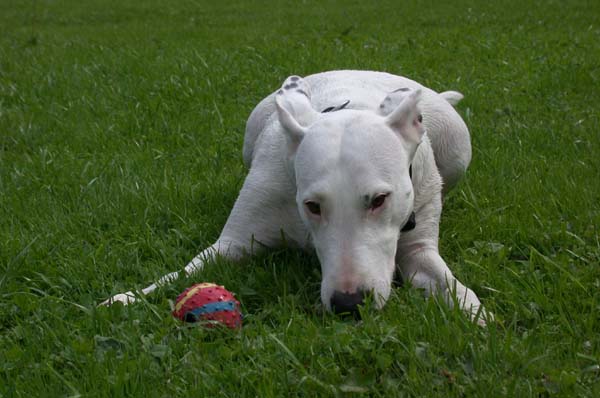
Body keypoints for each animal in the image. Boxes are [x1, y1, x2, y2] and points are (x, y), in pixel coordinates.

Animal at [102, 70, 488, 324]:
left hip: (456, 145)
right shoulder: (234, 240)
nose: (349, 304)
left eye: (380, 200)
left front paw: (478, 316)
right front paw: (127, 297)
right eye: (312, 206)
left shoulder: (419, 247)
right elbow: (186, 269)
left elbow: (447, 281)